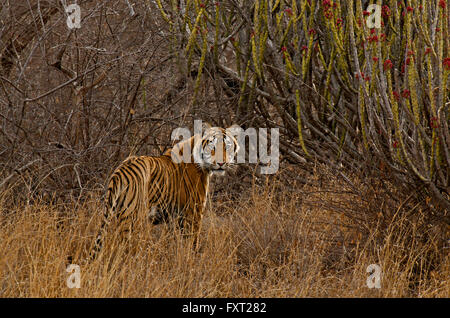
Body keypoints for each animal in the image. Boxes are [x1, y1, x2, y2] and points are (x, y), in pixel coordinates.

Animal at [89, 123, 241, 260]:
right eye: (212, 146)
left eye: (227, 146)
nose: (221, 163)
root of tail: (120, 171)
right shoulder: (193, 213)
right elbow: (192, 243)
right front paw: (192, 262)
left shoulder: (174, 218)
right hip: (132, 218)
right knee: (123, 248)